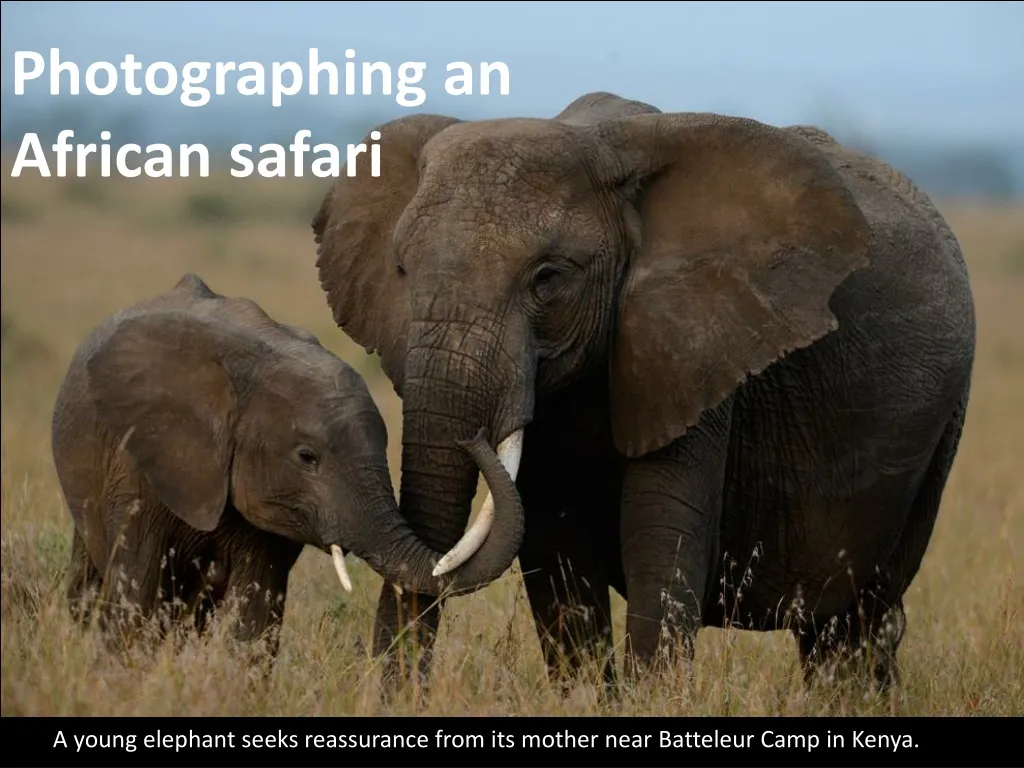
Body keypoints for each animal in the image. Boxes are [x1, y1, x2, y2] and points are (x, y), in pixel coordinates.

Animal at [50, 274, 520, 651]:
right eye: (307, 458)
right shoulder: (138, 464)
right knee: (92, 585)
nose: (475, 434)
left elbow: (255, 617)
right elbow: (137, 595)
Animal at [311, 91, 974, 696]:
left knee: (863, 618)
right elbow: (556, 551)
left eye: (548, 278)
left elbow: (661, 539)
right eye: (401, 271)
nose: (396, 698)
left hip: (939, 430)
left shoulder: (696, 345)